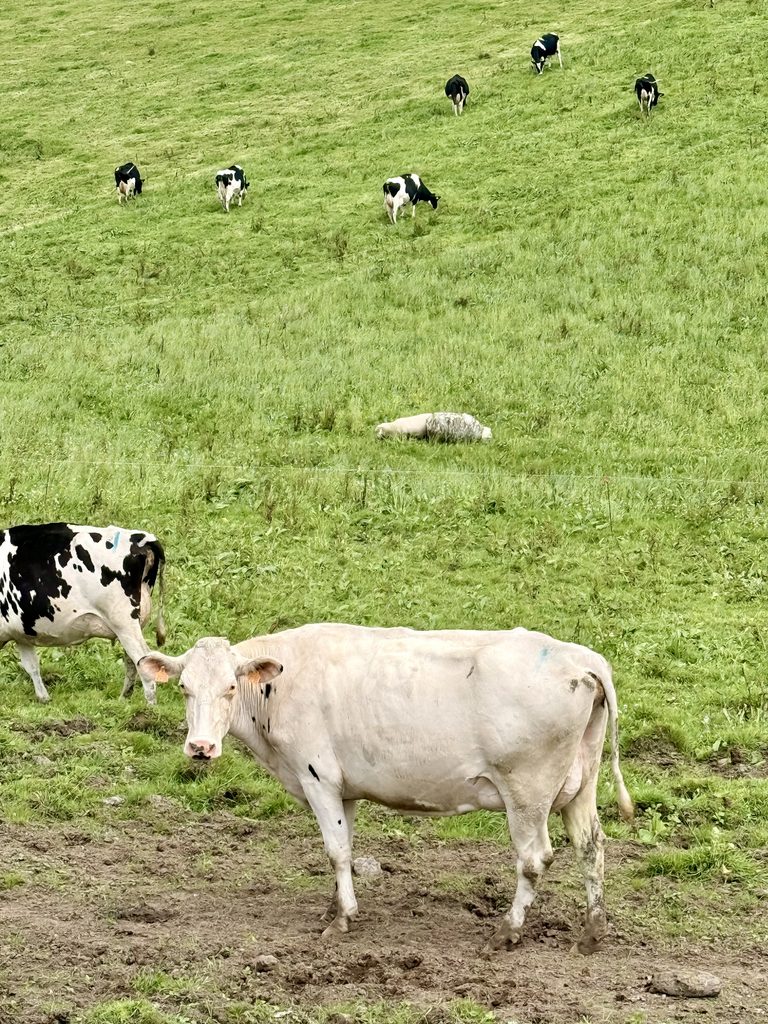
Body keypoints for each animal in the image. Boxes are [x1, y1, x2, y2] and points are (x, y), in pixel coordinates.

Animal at [0, 523, 165, 704]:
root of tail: (140, 538)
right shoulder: (21, 634)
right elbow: (32, 666)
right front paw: (44, 698)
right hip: (133, 623)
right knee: (132, 660)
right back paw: (124, 698)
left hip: (122, 620)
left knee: (143, 658)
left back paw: (149, 705)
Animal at [139, 623, 633, 951]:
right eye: (184, 688)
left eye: (229, 687)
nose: (200, 747)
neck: (280, 686)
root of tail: (581, 659)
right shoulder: (345, 788)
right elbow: (345, 847)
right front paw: (333, 906)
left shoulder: (317, 777)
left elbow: (336, 850)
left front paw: (341, 920)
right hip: (579, 787)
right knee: (591, 846)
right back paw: (593, 931)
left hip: (526, 792)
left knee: (534, 859)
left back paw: (506, 930)